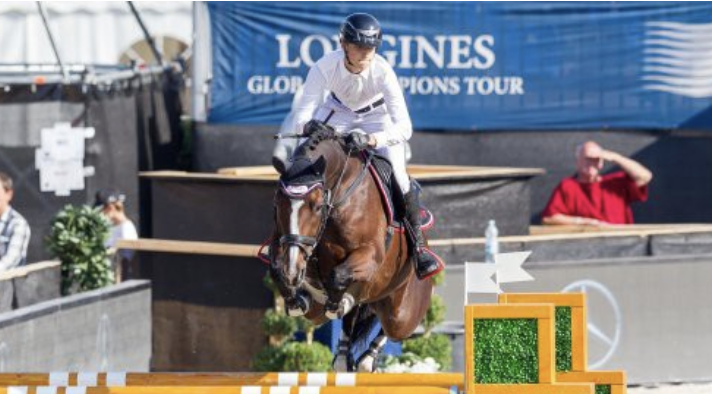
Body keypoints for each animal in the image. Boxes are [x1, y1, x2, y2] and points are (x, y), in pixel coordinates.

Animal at [268, 121, 432, 370]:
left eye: (317, 206)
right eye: (278, 204)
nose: (293, 272)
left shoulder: (370, 254)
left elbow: (339, 275)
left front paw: (338, 302)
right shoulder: (284, 243)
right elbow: (277, 268)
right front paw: (296, 299)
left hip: (403, 314)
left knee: (390, 328)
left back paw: (367, 358)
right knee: (354, 320)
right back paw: (344, 356)